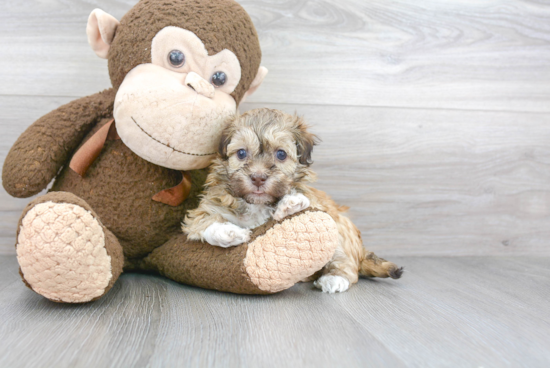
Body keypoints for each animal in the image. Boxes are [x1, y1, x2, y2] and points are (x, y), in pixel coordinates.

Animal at [183, 107, 404, 294]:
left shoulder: (319, 206)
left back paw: (334, 278)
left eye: (281, 154)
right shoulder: (206, 208)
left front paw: (291, 204)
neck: (256, 204)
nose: (258, 177)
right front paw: (228, 232)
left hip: (342, 231)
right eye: (242, 153)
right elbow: (204, 220)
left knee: (346, 262)